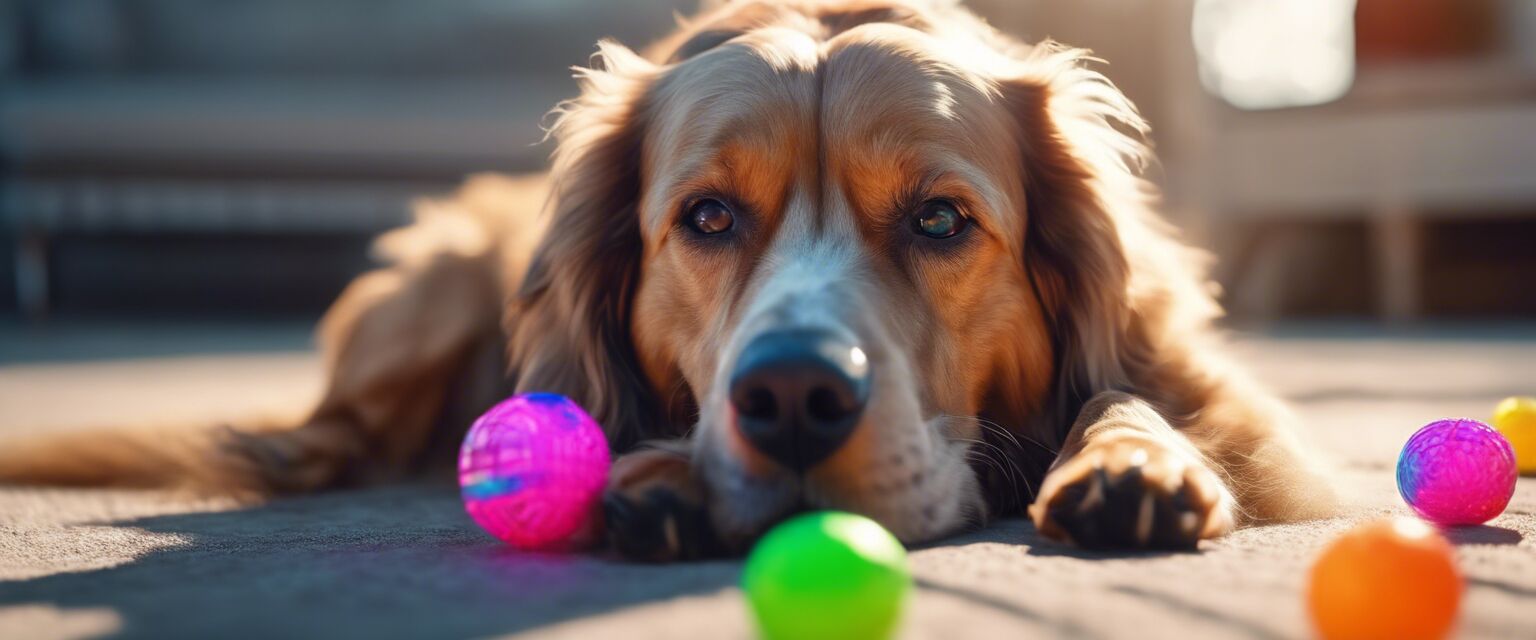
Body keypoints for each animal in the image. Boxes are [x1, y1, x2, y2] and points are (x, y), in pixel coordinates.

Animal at [0, 0, 1333, 558]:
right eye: (707, 217)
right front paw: (660, 474)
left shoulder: (1236, 408)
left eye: (943, 219)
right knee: (319, 438)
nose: (793, 397)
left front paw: (1134, 461)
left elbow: (1133, 390)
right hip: (431, 291)